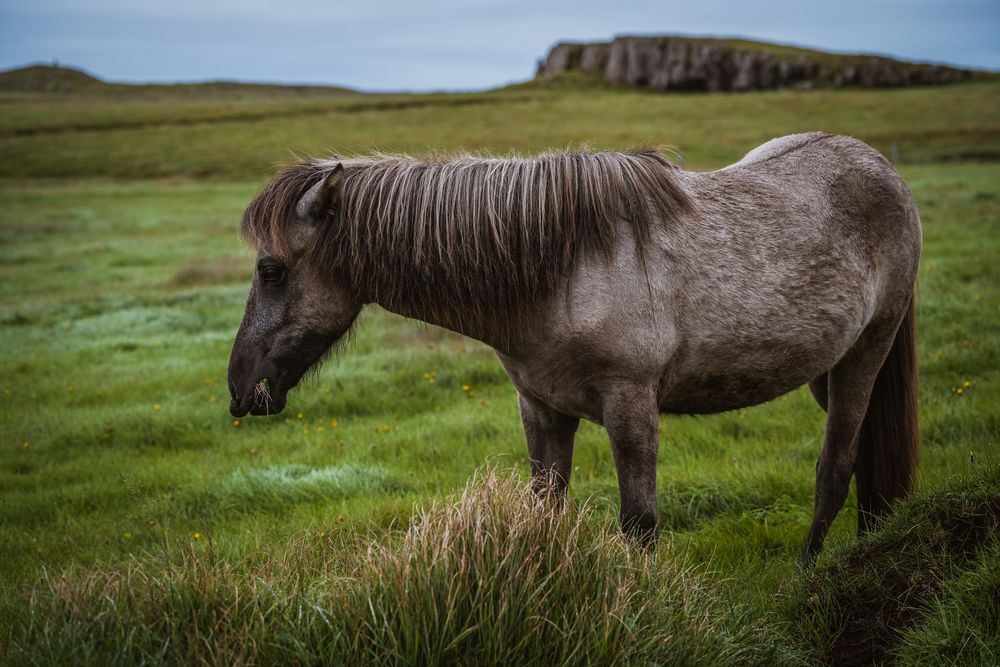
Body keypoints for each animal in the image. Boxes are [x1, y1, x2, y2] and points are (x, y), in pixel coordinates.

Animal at [229, 133, 920, 568]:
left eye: (271, 270)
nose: (240, 390)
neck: (561, 268)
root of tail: (881, 167)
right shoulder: (541, 408)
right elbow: (547, 513)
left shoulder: (630, 406)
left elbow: (640, 524)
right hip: (824, 368)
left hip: (866, 353)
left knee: (835, 465)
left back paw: (808, 570)